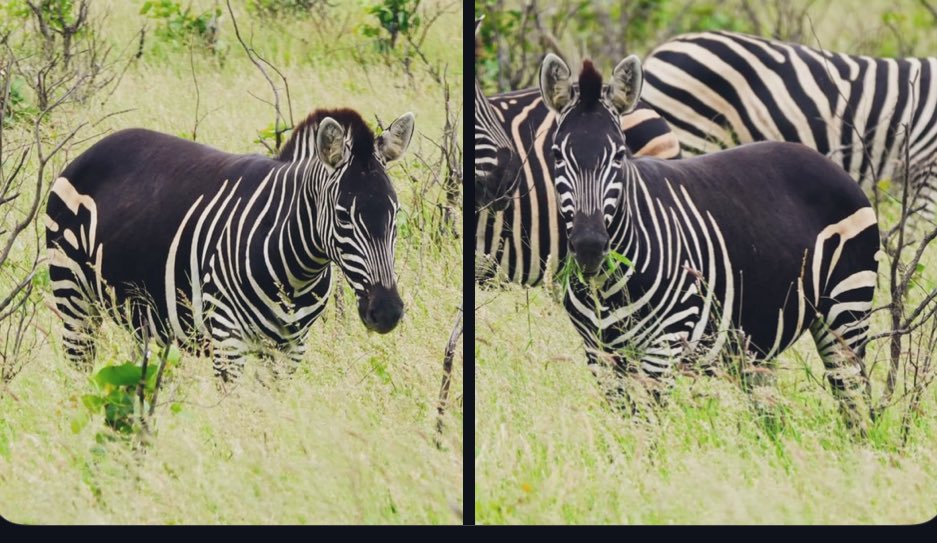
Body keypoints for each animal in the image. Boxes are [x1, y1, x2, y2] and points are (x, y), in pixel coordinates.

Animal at [45, 108, 415, 381]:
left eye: (395, 214)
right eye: (342, 216)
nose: (386, 312)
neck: (296, 272)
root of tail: (100, 144)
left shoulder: (291, 349)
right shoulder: (228, 338)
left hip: (141, 314)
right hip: (74, 298)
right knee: (80, 370)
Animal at [539, 52, 881, 430]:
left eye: (620, 155)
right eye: (557, 155)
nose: (589, 247)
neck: (606, 286)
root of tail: (826, 162)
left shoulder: (664, 346)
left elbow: (648, 428)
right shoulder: (599, 353)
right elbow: (623, 426)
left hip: (846, 309)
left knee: (853, 400)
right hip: (758, 341)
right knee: (772, 418)